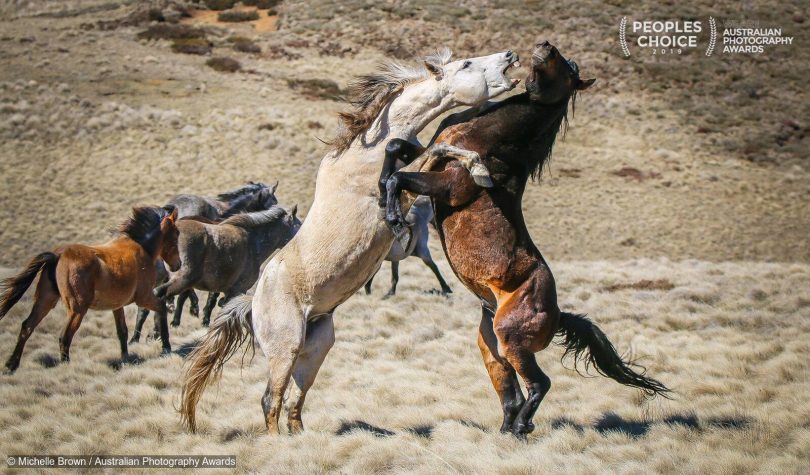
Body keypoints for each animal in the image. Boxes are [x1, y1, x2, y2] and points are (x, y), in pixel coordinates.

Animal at [0, 205, 180, 372]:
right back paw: (66, 368)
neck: (143, 249)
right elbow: (161, 308)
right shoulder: (143, 298)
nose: (178, 265)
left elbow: (122, 332)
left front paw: (126, 359)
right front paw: (166, 347)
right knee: (64, 337)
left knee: (27, 326)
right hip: (77, 309)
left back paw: (11, 365)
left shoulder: (117, 306)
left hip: (46, 300)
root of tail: (58, 255)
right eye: (176, 234)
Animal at [181, 49, 520, 436]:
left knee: (295, 400)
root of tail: (253, 302)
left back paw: (301, 438)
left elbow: (442, 147)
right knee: (271, 399)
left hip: (317, 345)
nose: (510, 55)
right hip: (285, 347)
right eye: (465, 65)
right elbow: (426, 152)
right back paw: (278, 442)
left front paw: (479, 169)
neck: (363, 152)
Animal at [386, 42, 668, 440]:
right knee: (511, 391)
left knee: (540, 383)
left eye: (568, 69)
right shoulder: (428, 154)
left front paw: (394, 217)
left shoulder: (448, 186)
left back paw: (521, 427)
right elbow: (396, 148)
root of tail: (558, 313)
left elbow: (398, 179)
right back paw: (508, 430)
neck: (492, 141)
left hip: (511, 339)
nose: (544, 46)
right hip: (491, 344)